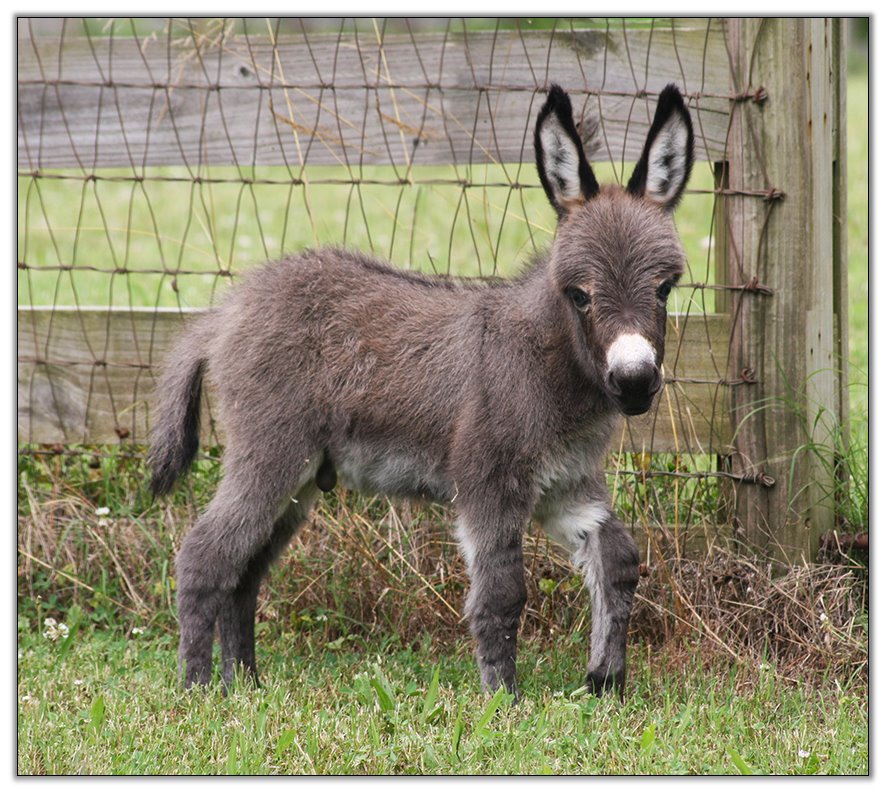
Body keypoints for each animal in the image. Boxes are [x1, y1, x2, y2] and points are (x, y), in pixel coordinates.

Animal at [149, 83, 694, 699]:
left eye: (665, 289)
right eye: (579, 295)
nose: (635, 383)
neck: (549, 363)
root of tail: (228, 310)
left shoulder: (567, 485)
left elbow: (618, 559)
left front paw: (605, 682)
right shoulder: (488, 483)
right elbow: (502, 595)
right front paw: (503, 698)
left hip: (301, 478)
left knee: (244, 573)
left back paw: (245, 682)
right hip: (270, 453)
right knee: (205, 556)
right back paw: (198, 689)